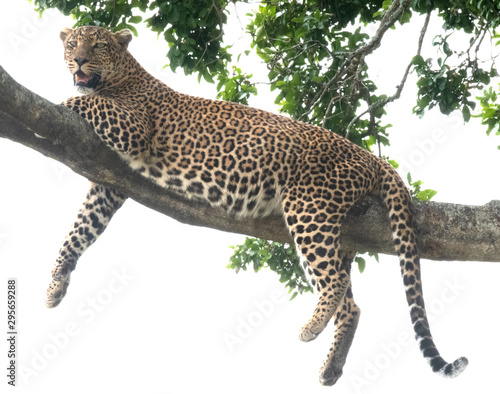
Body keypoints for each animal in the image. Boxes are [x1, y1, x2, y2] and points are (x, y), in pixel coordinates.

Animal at [47, 26, 468, 386]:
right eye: (74, 45)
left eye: (99, 46)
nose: (79, 61)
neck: (120, 77)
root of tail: (370, 156)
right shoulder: (109, 183)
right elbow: (80, 230)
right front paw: (56, 283)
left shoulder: (133, 126)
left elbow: (82, 104)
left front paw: (57, 101)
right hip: (339, 235)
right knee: (350, 303)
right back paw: (330, 365)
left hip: (308, 207)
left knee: (334, 282)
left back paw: (310, 329)